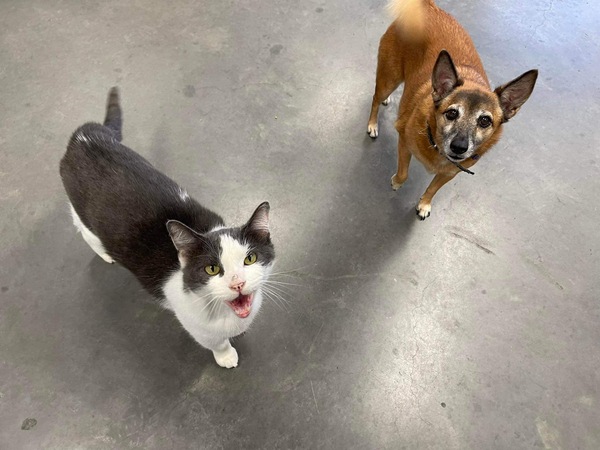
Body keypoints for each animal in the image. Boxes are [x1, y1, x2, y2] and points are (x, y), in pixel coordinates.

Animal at [59, 87, 275, 368]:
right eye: (212, 269)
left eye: (250, 259)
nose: (238, 283)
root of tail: (84, 135)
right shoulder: (197, 325)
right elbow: (216, 342)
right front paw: (226, 355)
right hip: (81, 211)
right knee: (83, 229)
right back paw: (104, 252)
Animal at [367, 0, 538, 220]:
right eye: (451, 113)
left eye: (485, 121)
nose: (459, 147)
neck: (435, 142)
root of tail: (429, 7)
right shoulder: (404, 141)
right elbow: (404, 173)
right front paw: (396, 182)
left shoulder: (450, 172)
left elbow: (433, 188)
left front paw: (424, 204)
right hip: (389, 78)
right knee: (375, 99)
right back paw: (372, 124)